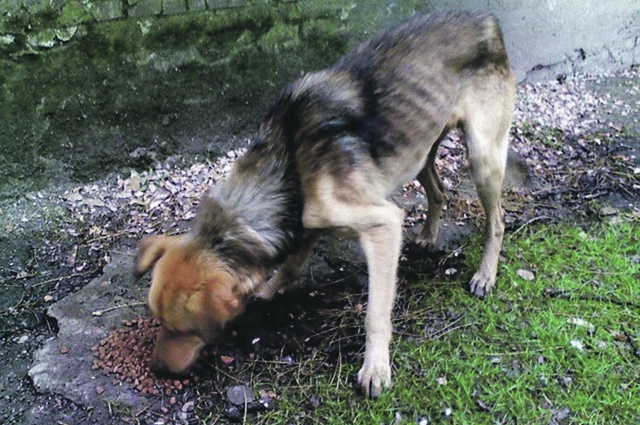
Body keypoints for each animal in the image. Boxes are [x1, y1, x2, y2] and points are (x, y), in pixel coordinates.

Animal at [134, 13, 516, 398]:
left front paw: (375, 369)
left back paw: (485, 275)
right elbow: (290, 263)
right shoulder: (307, 222)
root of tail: (486, 20)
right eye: (159, 322)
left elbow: (376, 313)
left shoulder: (382, 225)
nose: (156, 369)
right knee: (438, 192)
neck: (286, 167)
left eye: (184, 330)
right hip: (418, 148)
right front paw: (266, 291)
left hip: (482, 157)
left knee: (497, 221)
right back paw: (429, 235)